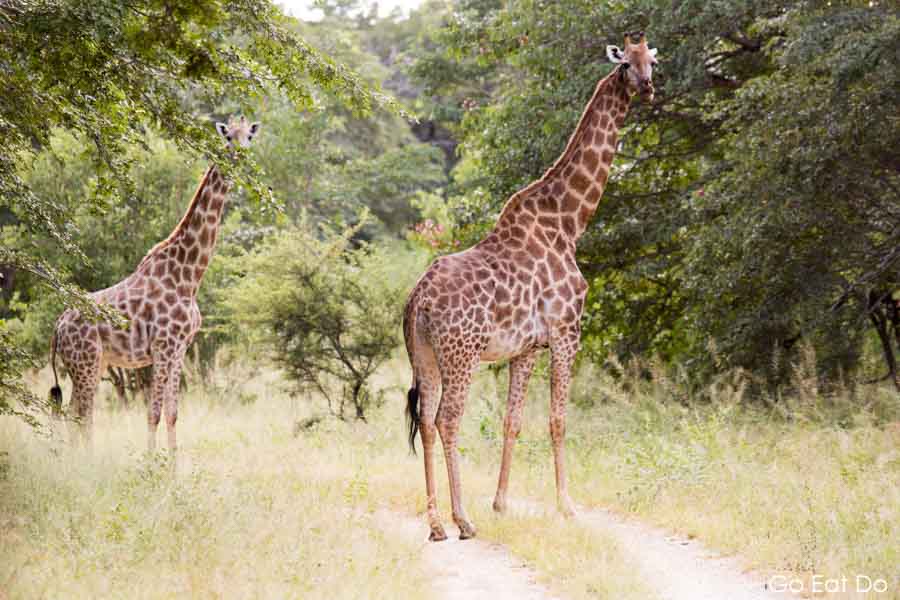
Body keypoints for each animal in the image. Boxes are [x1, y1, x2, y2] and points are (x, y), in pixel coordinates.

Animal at [50, 115, 260, 452]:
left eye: (249, 138)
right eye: (228, 138)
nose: (240, 157)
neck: (189, 277)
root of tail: (57, 326)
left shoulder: (180, 350)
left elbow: (173, 414)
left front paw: (172, 465)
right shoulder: (163, 347)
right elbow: (154, 413)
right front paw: (150, 464)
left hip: (91, 364)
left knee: (75, 414)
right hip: (86, 362)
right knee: (81, 415)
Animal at [404, 31, 656, 540]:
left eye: (653, 61)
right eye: (625, 63)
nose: (647, 87)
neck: (569, 223)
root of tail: (417, 299)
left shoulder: (526, 349)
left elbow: (513, 420)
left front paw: (501, 503)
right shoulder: (566, 332)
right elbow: (558, 420)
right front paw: (567, 505)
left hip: (424, 356)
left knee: (426, 420)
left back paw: (437, 523)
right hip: (461, 354)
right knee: (448, 420)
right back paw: (463, 520)